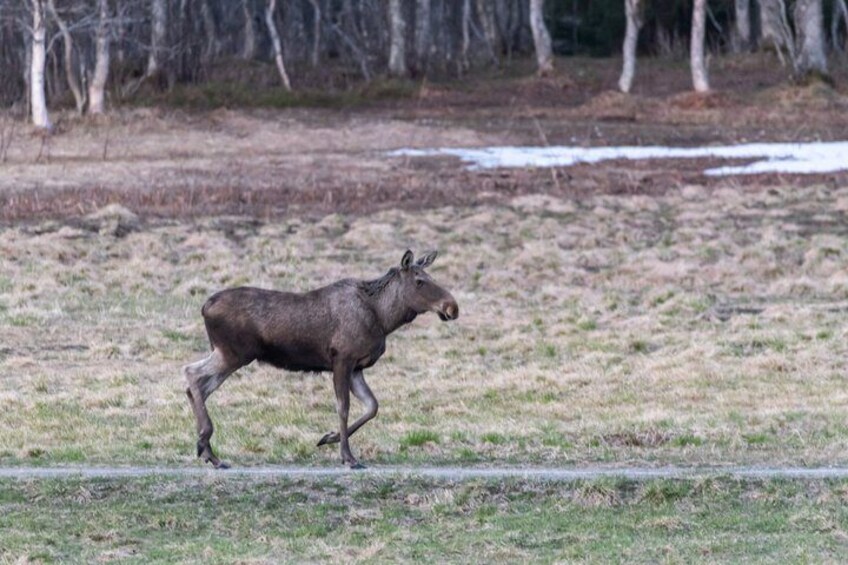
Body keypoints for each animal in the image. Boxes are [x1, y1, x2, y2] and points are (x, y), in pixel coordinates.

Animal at [183, 250, 459, 469]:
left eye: (431, 277)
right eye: (420, 281)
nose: (452, 307)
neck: (383, 319)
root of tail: (205, 307)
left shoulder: (357, 367)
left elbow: (372, 406)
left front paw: (329, 437)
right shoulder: (342, 359)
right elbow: (343, 407)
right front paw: (348, 457)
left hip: (229, 353)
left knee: (199, 385)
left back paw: (208, 451)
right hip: (233, 352)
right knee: (191, 373)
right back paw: (207, 446)